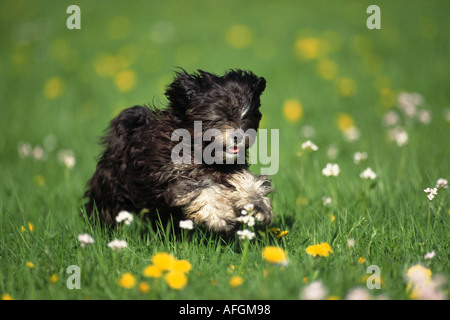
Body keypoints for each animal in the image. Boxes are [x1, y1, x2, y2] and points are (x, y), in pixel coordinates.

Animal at [85, 69, 274, 232]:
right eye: (218, 116)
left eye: (246, 116)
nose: (239, 137)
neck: (201, 151)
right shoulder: (169, 174)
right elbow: (201, 189)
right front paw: (220, 216)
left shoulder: (231, 166)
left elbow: (245, 180)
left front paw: (258, 205)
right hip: (112, 185)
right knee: (106, 207)